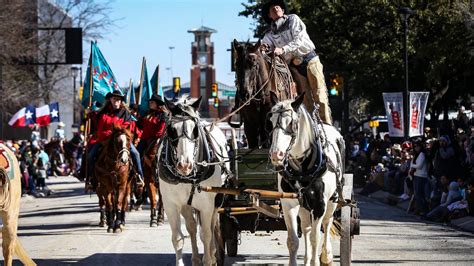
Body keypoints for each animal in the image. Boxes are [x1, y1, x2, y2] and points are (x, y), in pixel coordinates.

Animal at [159, 97, 230, 266]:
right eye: (171, 129)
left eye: (195, 129)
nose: (185, 165)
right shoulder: (171, 204)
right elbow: (178, 238)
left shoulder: (207, 205)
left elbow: (206, 234)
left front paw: (209, 259)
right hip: (186, 205)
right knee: (191, 227)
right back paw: (196, 258)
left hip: (217, 202)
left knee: (211, 226)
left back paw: (212, 254)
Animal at [268, 92, 342, 264]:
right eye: (271, 121)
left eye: (292, 123)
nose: (276, 155)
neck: (302, 169)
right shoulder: (288, 204)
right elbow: (293, 240)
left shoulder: (319, 205)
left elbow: (316, 238)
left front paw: (317, 260)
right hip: (303, 205)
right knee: (306, 228)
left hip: (333, 199)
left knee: (327, 223)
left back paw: (326, 255)